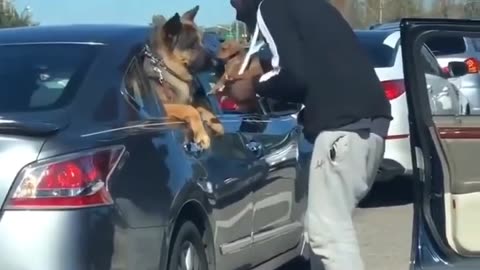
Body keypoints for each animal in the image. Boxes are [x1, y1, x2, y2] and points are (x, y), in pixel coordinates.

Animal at [143, 5, 224, 150]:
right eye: (192, 46)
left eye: (202, 42)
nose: (218, 63)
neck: (167, 69)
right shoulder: (166, 108)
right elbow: (190, 109)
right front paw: (202, 135)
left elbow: (200, 108)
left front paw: (215, 122)